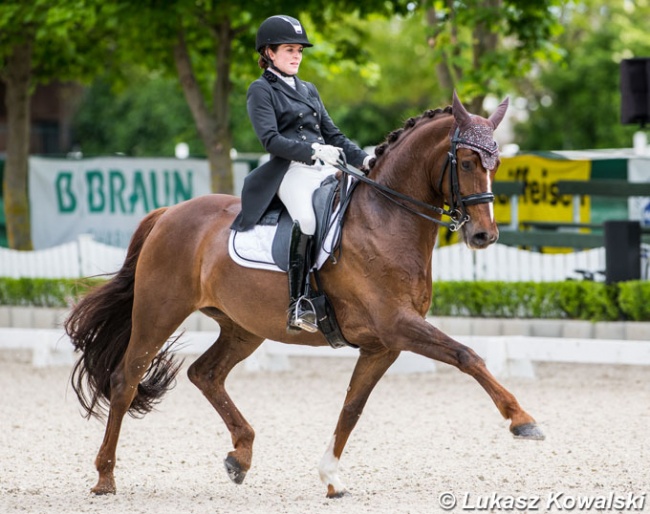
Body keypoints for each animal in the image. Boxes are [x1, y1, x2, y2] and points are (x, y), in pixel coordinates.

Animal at [66, 92, 540, 496]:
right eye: (466, 161)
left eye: (496, 163)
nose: (483, 235)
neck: (387, 218)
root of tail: (168, 213)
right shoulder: (398, 326)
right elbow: (467, 355)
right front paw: (522, 420)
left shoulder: (383, 344)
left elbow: (352, 407)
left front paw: (330, 477)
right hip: (159, 312)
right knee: (126, 380)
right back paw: (105, 478)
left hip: (243, 327)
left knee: (205, 373)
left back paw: (240, 456)